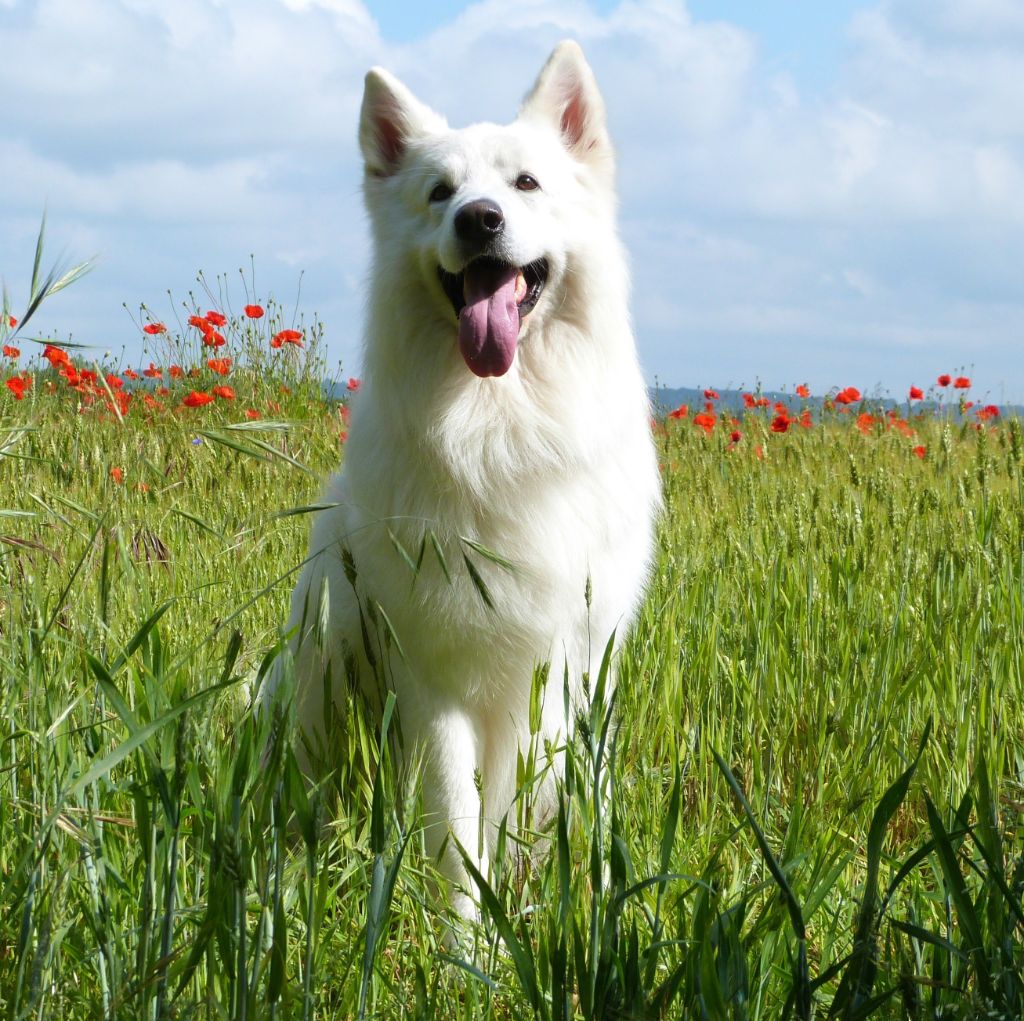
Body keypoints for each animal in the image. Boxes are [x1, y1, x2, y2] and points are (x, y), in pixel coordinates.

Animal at [268, 39, 659, 917]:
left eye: (526, 184)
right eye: (439, 192)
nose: (478, 219)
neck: (502, 428)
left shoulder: (584, 671)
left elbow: (585, 811)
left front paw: (598, 918)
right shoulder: (435, 676)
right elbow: (457, 833)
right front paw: (472, 942)